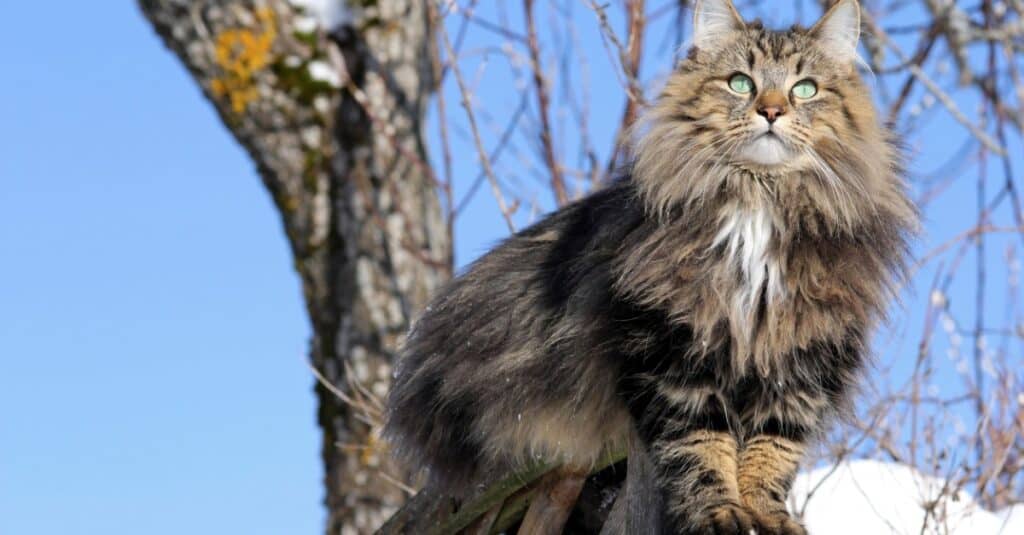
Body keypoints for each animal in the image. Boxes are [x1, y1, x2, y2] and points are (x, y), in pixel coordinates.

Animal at [387, 1, 917, 528]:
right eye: (740, 82)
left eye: (804, 88)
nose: (771, 111)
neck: (759, 200)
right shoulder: (672, 352)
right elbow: (702, 447)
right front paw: (720, 512)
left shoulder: (802, 362)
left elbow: (773, 451)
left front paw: (767, 516)